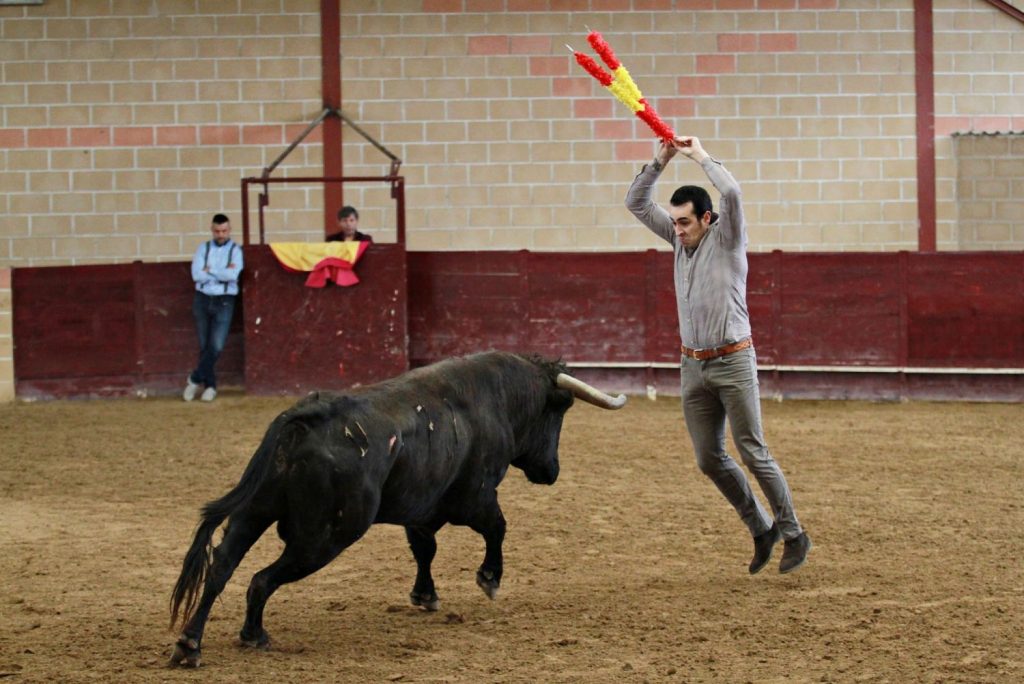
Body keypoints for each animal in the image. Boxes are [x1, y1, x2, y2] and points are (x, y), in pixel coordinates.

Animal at [167, 352, 622, 667]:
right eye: (559, 410)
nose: (552, 471)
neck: (495, 399)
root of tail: (302, 419)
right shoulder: (476, 498)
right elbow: (497, 528)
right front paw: (489, 579)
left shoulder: (419, 512)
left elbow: (425, 550)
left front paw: (425, 595)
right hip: (323, 538)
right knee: (261, 579)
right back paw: (252, 635)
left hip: (254, 513)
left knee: (221, 567)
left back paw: (190, 644)